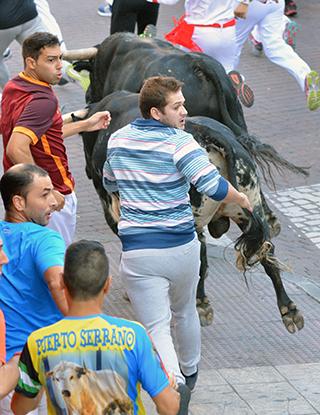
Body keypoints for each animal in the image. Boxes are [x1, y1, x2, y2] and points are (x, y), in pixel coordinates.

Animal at [80, 92, 304, 334]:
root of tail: (210, 134)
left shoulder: (112, 207)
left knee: (197, 259)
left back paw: (199, 303)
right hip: (249, 207)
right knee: (266, 254)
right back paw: (289, 310)